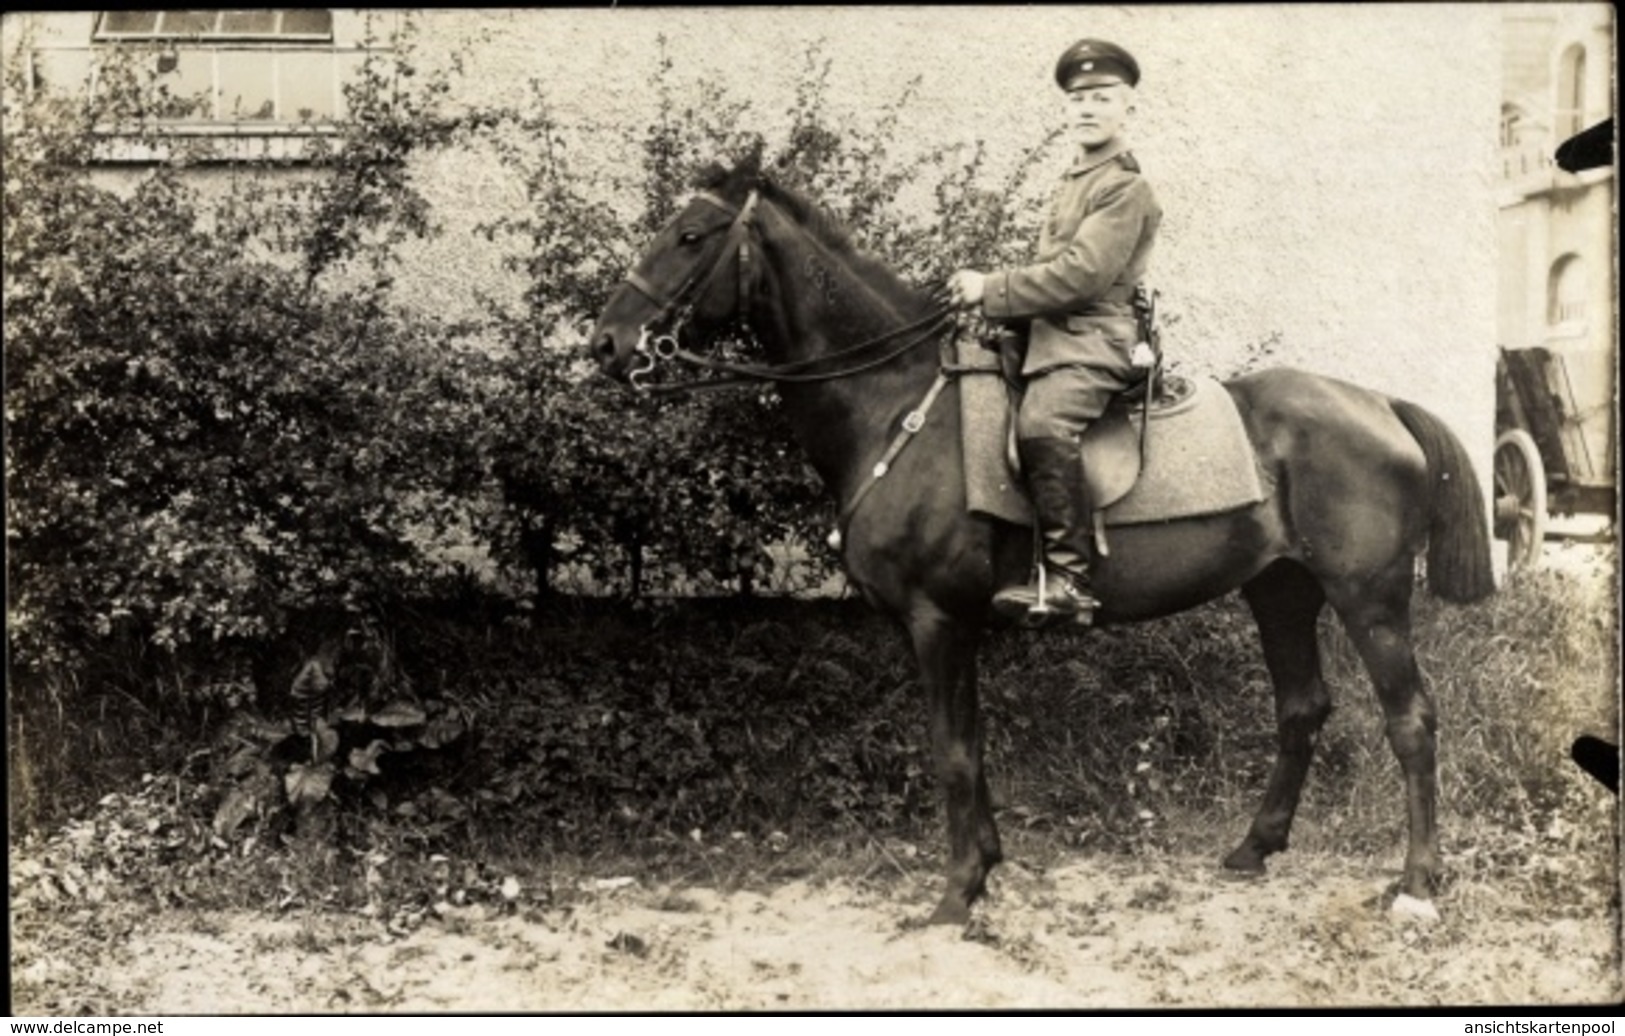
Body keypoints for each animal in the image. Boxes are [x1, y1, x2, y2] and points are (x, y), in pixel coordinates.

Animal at [588, 155, 1495, 922]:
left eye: (689, 236)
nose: (606, 344)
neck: (897, 402)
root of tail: (1379, 402)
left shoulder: (936, 620)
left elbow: (952, 750)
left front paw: (956, 895)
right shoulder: (949, 626)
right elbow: (972, 743)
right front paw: (986, 866)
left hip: (1368, 598)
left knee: (1410, 719)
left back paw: (1417, 884)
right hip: (1279, 590)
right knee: (1302, 707)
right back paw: (1253, 848)